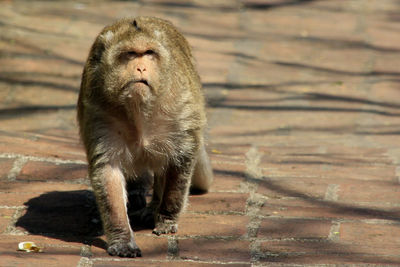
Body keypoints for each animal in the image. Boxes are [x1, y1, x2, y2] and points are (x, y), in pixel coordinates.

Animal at [76, 16, 212, 258]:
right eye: (130, 54)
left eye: (149, 53)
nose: (140, 67)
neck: (138, 109)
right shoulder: (98, 115)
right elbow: (108, 171)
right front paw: (121, 238)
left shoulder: (181, 110)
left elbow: (181, 160)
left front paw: (166, 217)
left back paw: (155, 206)